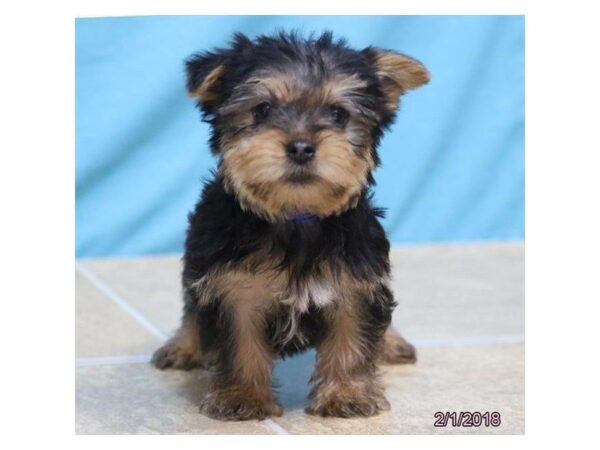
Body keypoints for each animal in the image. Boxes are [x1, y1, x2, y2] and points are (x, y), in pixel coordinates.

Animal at [152, 32, 428, 422]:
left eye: (339, 114)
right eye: (262, 110)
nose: (300, 147)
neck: (296, 216)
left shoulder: (357, 279)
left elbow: (353, 336)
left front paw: (347, 394)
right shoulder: (230, 285)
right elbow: (239, 343)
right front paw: (242, 396)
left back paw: (391, 342)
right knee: (191, 305)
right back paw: (183, 345)